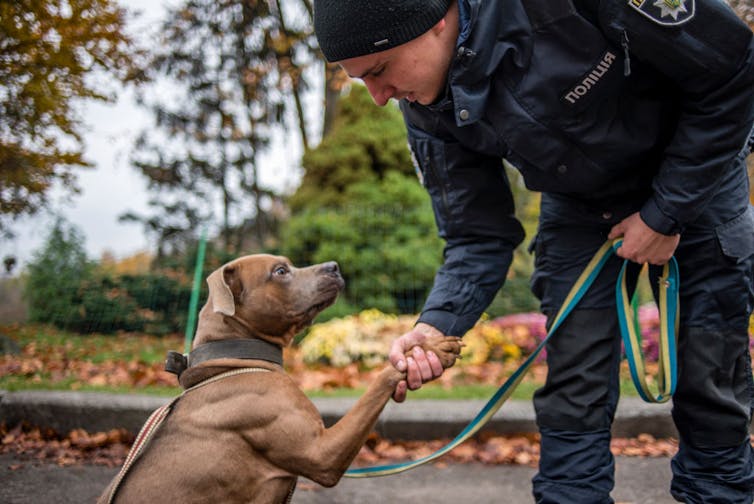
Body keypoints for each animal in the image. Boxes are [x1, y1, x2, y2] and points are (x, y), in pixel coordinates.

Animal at [97, 256, 462, 504]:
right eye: (280, 271)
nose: (334, 266)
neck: (234, 361)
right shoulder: (321, 453)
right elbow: (377, 384)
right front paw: (430, 348)